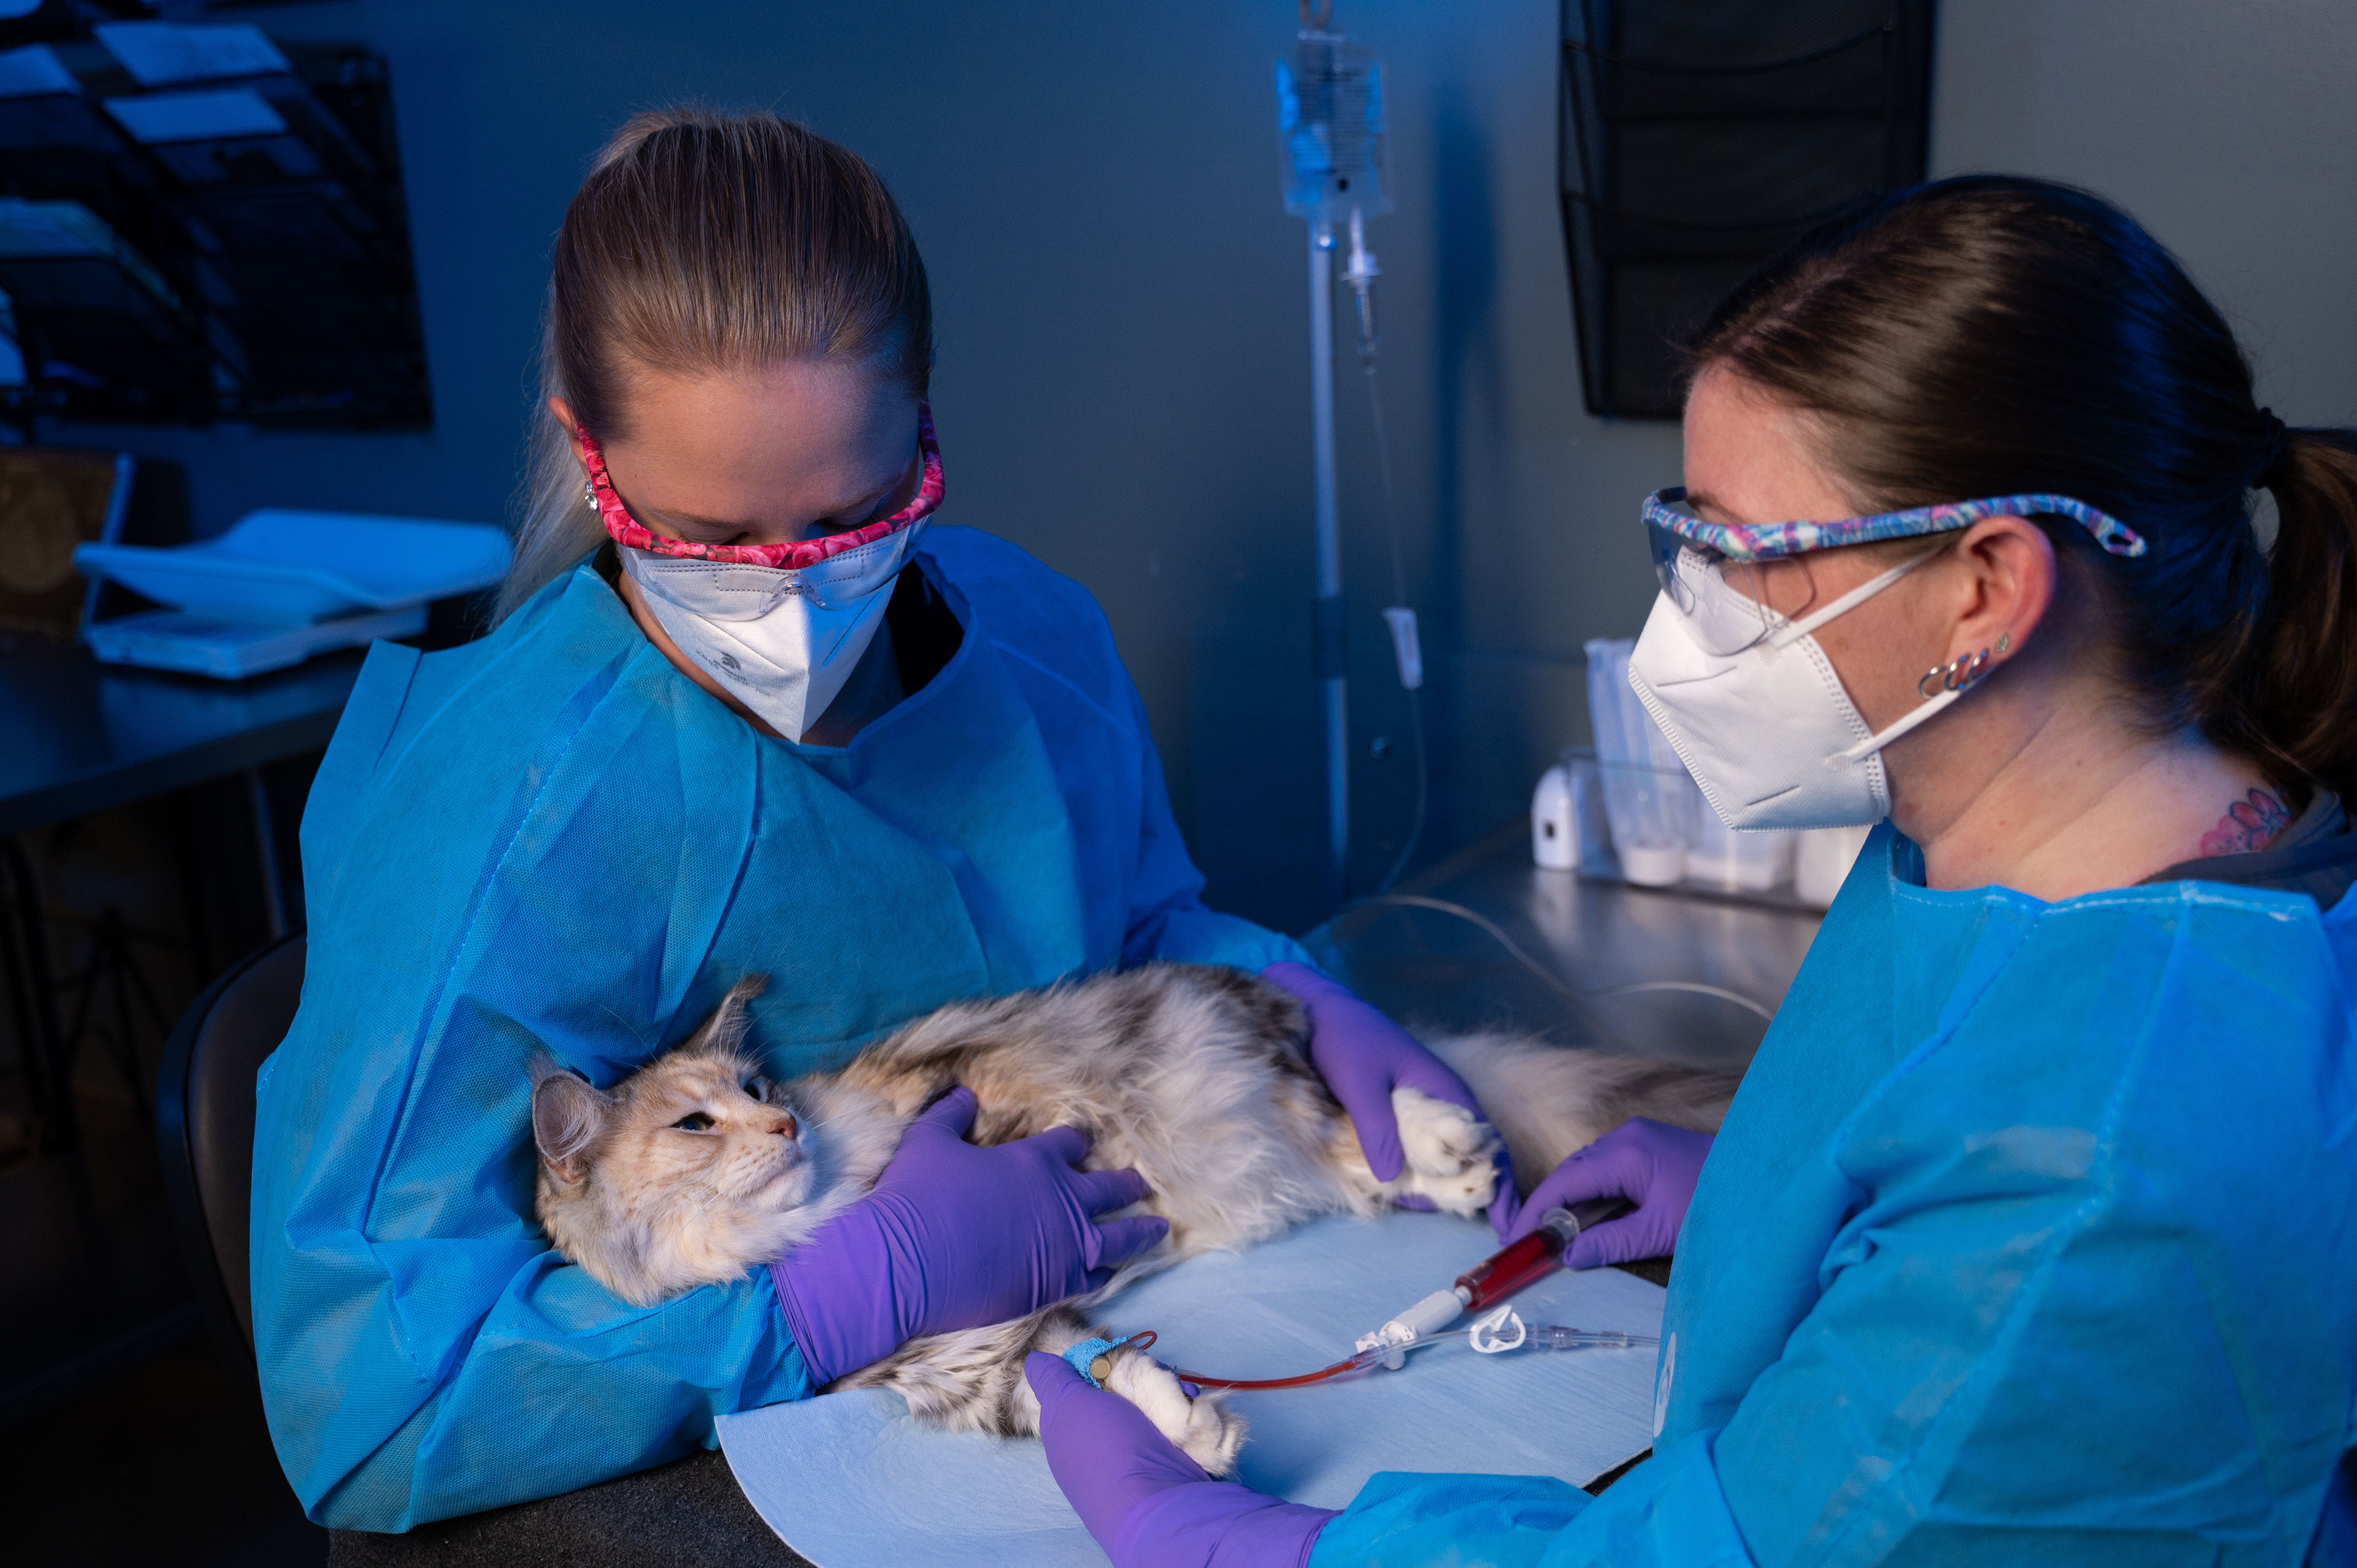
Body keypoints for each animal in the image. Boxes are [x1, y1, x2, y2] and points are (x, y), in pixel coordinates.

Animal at [530, 962, 1735, 1471]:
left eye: (761, 1090)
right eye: (696, 1122)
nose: (783, 1128)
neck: (827, 1220)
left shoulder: (952, 1099)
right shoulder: (965, 1350)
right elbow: (1098, 1373)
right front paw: (1188, 1434)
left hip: (1235, 1030)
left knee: (1346, 1095)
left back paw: (1444, 1138)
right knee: (1341, 1155)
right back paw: (1449, 1170)